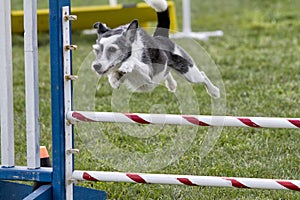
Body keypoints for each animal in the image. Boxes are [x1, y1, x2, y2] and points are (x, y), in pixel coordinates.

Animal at [90, 0, 219, 98]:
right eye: (96, 50)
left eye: (112, 49)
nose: (96, 66)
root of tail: (161, 37)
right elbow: (113, 78)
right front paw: (114, 79)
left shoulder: (148, 75)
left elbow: (134, 62)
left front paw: (126, 65)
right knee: (166, 72)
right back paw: (172, 85)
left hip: (189, 72)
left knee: (202, 75)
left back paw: (214, 92)